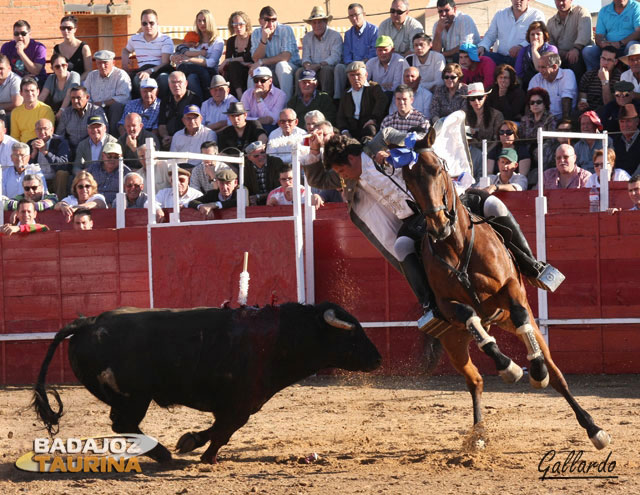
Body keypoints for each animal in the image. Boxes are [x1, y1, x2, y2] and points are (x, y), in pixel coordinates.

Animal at [33, 302, 380, 464]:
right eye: (353, 336)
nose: (378, 359)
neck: (279, 337)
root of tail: (89, 322)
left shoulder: (239, 404)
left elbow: (219, 428)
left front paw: (190, 442)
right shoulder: (241, 403)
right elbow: (225, 430)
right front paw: (206, 456)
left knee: (123, 426)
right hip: (134, 398)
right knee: (124, 424)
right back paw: (162, 454)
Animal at [404, 140, 608, 454]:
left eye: (438, 169)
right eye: (409, 180)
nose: (438, 224)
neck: (457, 245)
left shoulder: (511, 288)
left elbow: (522, 316)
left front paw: (534, 371)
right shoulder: (447, 307)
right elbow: (470, 318)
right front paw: (509, 368)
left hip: (512, 321)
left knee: (556, 373)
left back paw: (592, 426)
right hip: (454, 342)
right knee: (475, 380)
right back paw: (478, 433)